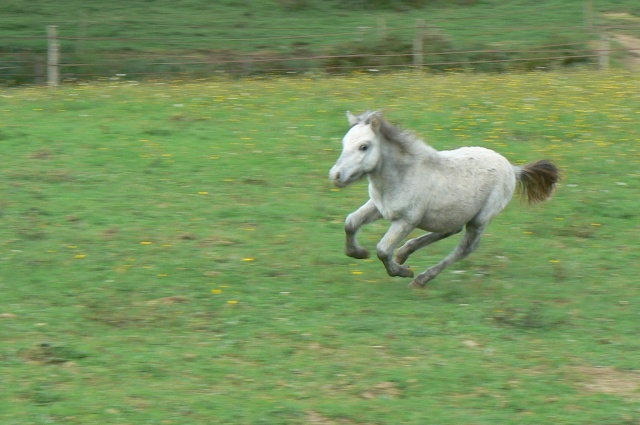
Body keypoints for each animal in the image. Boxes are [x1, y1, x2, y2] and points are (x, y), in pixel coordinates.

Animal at [330, 110, 560, 288]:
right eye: (344, 143)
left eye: (364, 146)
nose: (336, 176)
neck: (402, 175)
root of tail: (513, 168)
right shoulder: (378, 207)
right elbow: (350, 223)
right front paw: (358, 252)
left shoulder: (407, 220)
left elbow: (383, 250)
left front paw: (402, 271)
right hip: (453, 212)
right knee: (451, 229)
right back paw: (404, 252)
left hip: (480, 219)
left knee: (465, 249)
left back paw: (421, 278)